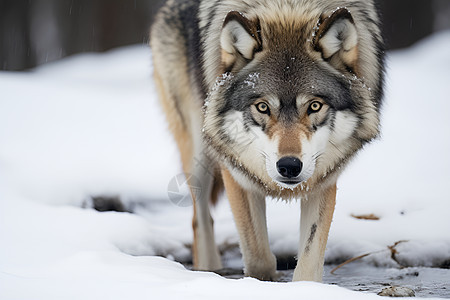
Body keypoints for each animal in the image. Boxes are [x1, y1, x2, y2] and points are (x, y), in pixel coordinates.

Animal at [150, 0, 384, 282]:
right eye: (262, 107)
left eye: (314, 106)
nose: (289, 166)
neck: (288, 10)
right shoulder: (237, 170)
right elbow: (259, 258)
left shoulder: (323, 178)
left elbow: (309, 260)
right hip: (199, 150)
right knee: (200, 219)